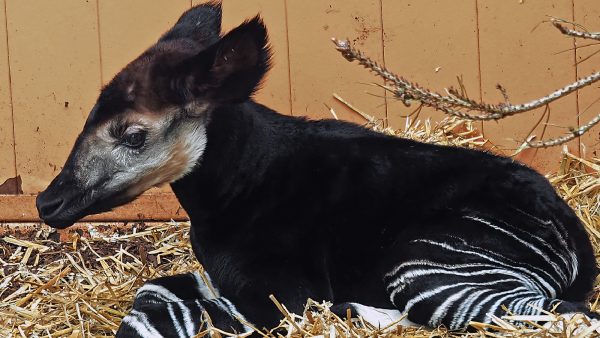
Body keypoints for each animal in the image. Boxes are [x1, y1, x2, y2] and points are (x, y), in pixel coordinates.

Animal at [36, 1, 596, 336]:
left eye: (133, 135)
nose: (47, 202)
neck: (238, 185)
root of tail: (575, 235)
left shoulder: (279, 295)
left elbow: (191, 305)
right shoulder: (225, 279)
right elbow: (159, 288)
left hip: (423, 261)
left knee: (548, 315)